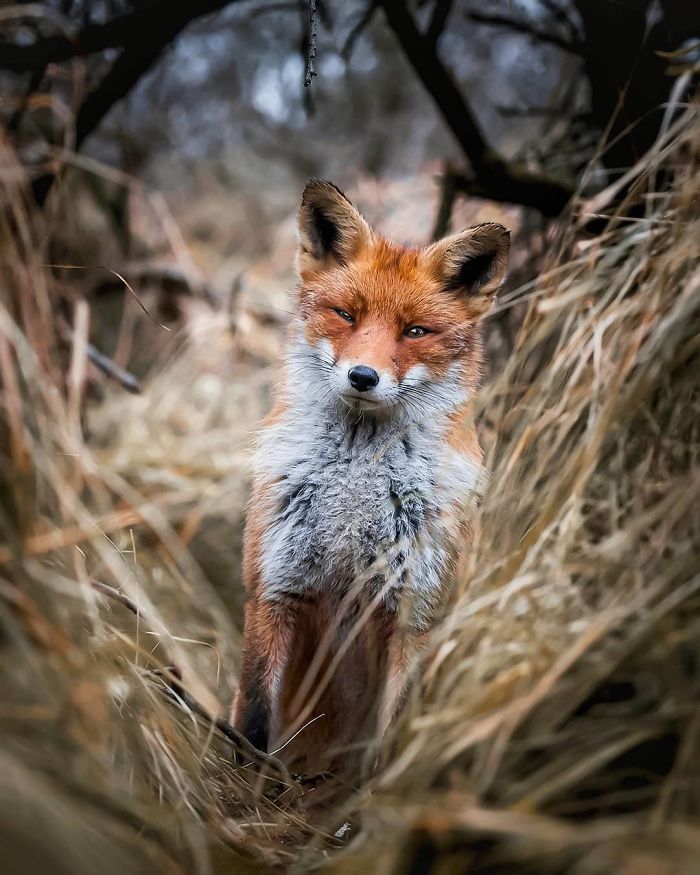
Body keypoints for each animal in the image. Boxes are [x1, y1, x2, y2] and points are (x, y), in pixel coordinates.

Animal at [233, 179, 510, 771]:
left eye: (415, 331)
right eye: (345, 315)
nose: (363, 376)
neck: (355, 486)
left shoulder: (415, 614)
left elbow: (389, 739)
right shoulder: (273, 587)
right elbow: (255, 715)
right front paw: (241, 777)